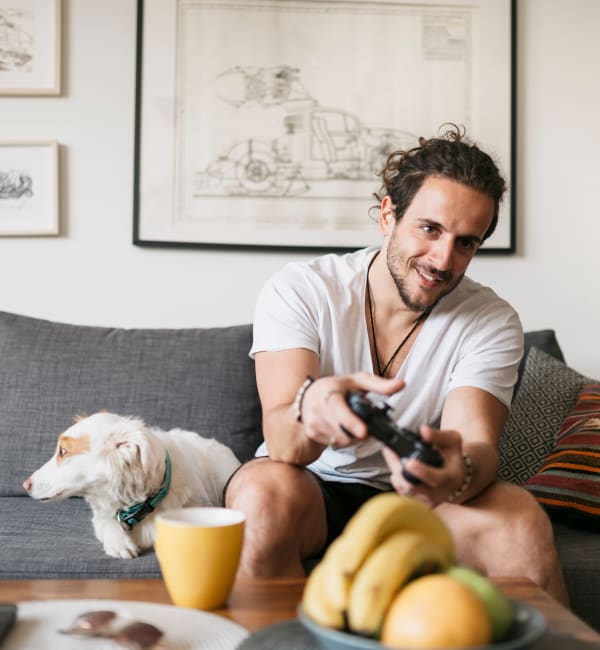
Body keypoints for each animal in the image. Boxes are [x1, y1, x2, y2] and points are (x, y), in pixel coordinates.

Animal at [21, 412, 241, 556]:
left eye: (63, 452)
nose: (25, 484)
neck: (137, 506)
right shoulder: (101, 516)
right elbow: (107, 524)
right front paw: (120, 544)